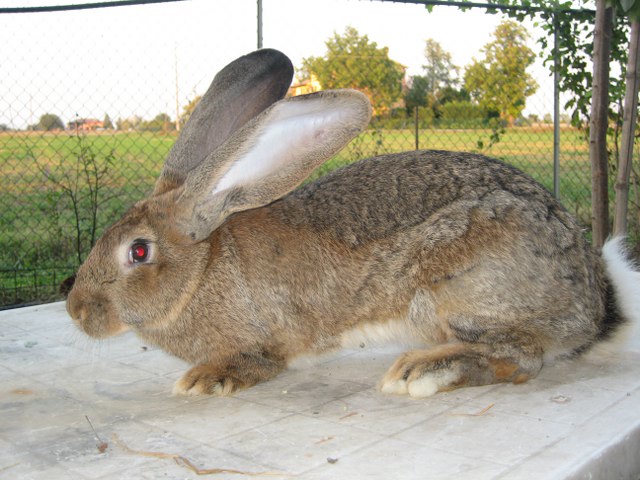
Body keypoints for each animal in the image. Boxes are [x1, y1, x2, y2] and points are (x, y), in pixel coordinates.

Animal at [66, 48, 640, 398]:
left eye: (139, 251)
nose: (76, 310)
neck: (201, 270)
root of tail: (593, 305)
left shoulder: (266, 339)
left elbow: (259, 362)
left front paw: (205, 379)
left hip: (463, 288)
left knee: (520, 356)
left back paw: (424, 370)